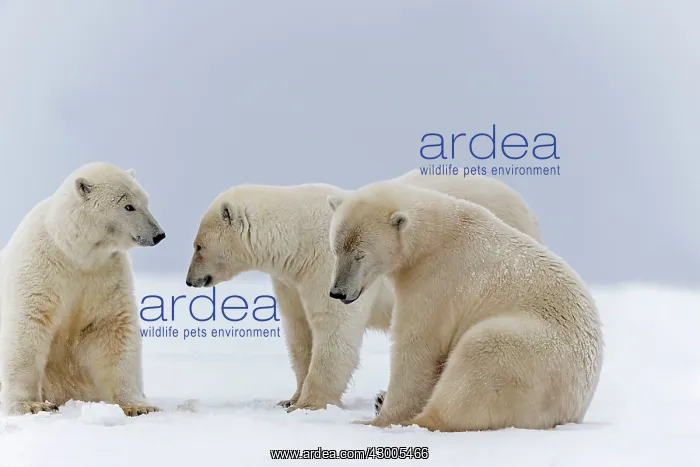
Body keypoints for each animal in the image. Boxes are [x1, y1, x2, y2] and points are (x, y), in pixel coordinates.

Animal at [0, 162, 166, 416]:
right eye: (128, 206)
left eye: (145, 201)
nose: (158, 234)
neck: (75, 252)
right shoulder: (41, 267)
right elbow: (28, 324)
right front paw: (32, 405)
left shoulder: (106, 275)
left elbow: (113, 328)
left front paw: (139, 407)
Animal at [185, 170, 542, 413]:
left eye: (198, 246)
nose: (190, 280)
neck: (296, 238)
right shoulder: (291, 280)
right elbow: (299, 332)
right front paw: (290, 397)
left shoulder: (326, 265)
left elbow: (334, 331)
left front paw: (308, 403)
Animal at [326, 180, 603, 431]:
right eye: (336, 249)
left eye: (360, 254)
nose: (338, 292)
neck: (436, 235)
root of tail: (575, 407)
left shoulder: (437, 282)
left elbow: (418, 348)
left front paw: (382, 419)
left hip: (533, 354)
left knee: (478, 360)